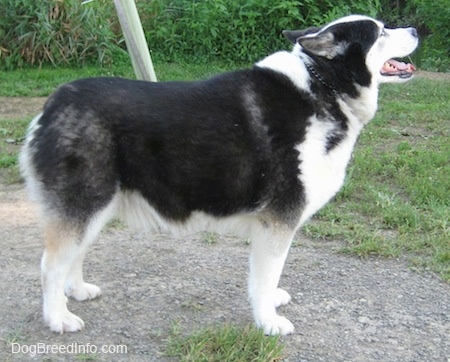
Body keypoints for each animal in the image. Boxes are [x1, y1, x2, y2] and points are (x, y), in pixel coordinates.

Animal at [20, 14, 418, 336]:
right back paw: (57, 317)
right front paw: (268, 321)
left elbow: (266, 276)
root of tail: (55, 102)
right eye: (381, 32)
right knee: (49, 266)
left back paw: (76, 291)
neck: (323, 86)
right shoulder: (278, 221)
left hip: (96, 208)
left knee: (73, 256)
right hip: (85, 204)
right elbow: (264, 277)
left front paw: (271, 302)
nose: (415, 29)